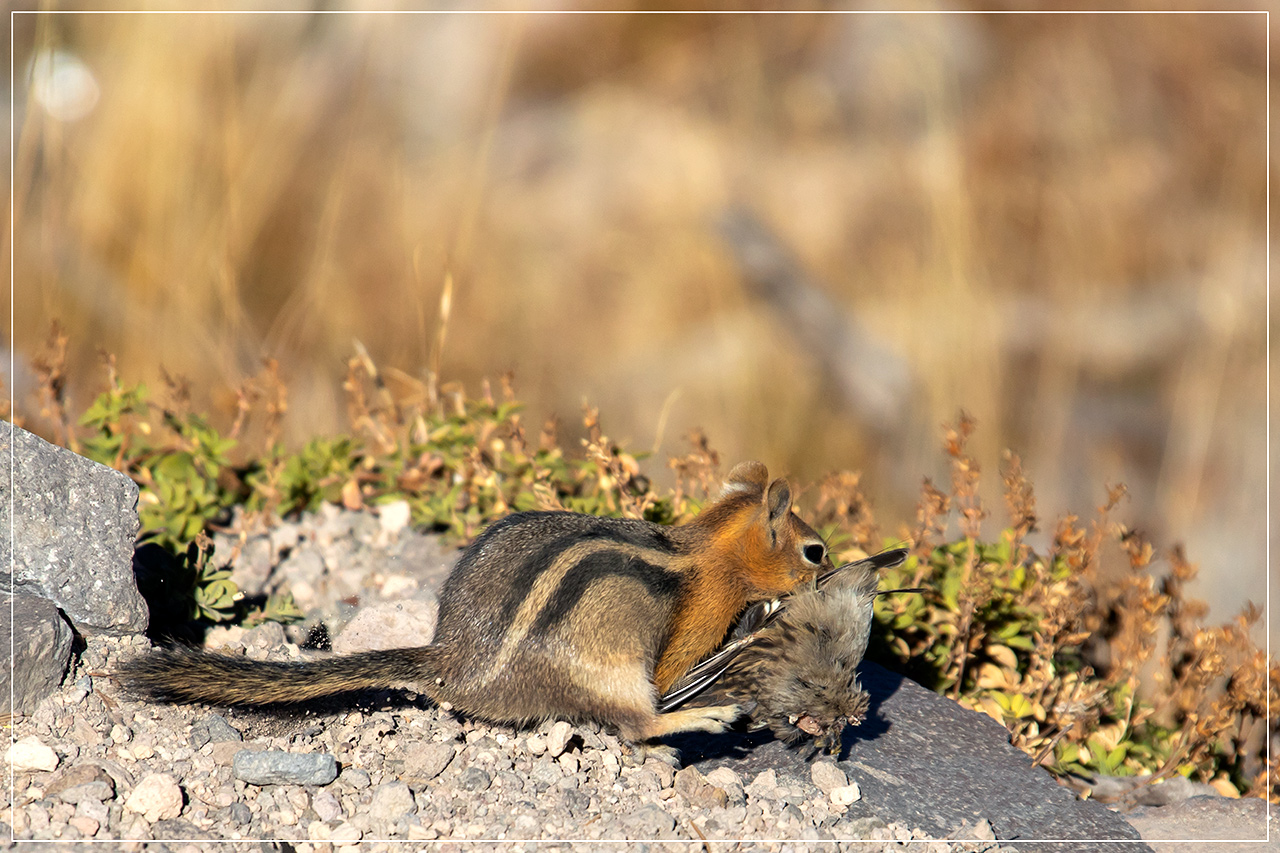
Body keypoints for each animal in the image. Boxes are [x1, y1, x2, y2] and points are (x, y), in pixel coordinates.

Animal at [120, 461, 839, 747]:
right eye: (816, 550)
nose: (834, 571)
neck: (706, 551)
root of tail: (452, 665)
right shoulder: (688, 636)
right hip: (612, 674)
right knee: (637, 723)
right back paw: (708, 716)